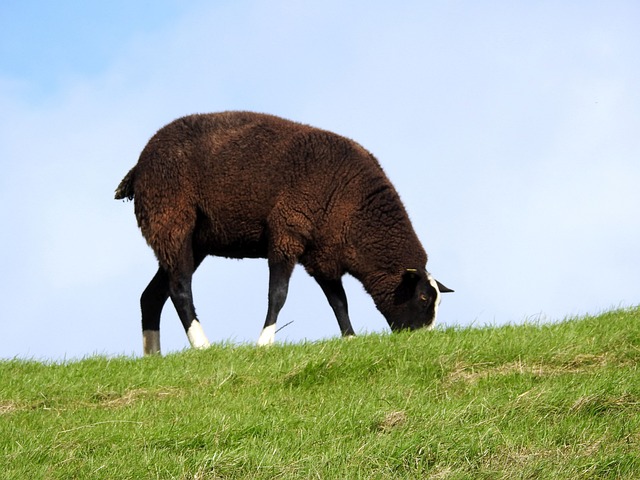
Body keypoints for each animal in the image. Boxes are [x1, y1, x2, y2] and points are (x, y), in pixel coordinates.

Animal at [116, 110, 456, 354]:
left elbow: (339, 301)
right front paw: (265, 341)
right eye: (423, 298)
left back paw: (153, 356)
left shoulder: (323, 253)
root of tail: (139, 166)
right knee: (179, 289)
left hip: (191, 239)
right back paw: (202, 345)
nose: (425, 340)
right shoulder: (287, 232)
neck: (358, 214)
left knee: (152, 295)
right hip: (171, 219)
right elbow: (278, 294)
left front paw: (349, 338)